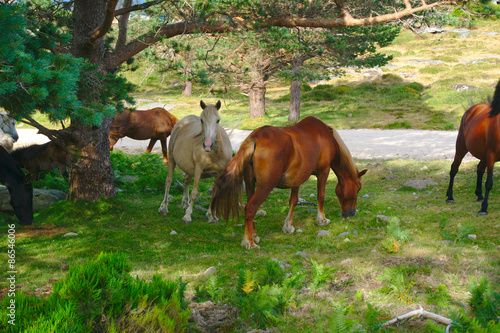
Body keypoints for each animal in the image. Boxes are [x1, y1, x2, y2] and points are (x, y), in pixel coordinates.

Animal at [211, 115, 368, 248]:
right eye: (358, 188)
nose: (351, 213)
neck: (326, 136)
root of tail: (255, 138)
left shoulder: (297, 178)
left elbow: (294, 200)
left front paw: (289, 226)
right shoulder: (324, 171)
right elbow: (321, 196)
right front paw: (322, 220)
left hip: (250, 183)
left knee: (249, 207)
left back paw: (254, 235)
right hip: (265, 186)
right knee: (250, 208)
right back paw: (249, 242)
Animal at [446, 80, 500, 215]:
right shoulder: (491, 155)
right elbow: (489, 182)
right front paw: (484, 209)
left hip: (484, 155)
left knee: (480, 169)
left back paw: (479, 195)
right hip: (461, 147)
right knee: (454, 168)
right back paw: (450, 197)